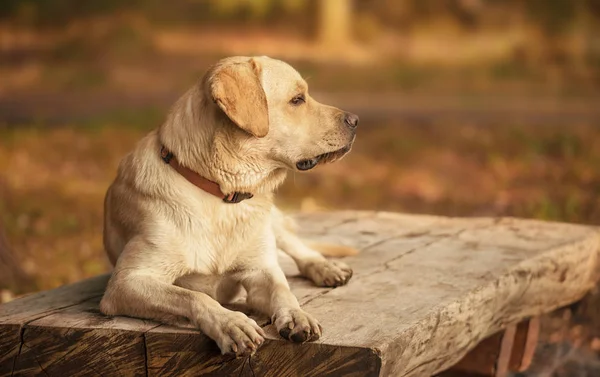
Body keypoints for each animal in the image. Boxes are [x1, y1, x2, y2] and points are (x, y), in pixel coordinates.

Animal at [100, 55, 358, 356]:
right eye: (297, 99)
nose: (355, 120)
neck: (222, 195)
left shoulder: (261, 270)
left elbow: (283, 289)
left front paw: (297, 315)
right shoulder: (125, 283)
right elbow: (193, 296)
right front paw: (231, 323)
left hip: (272, 224)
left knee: (298, 247)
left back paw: (326, 268)